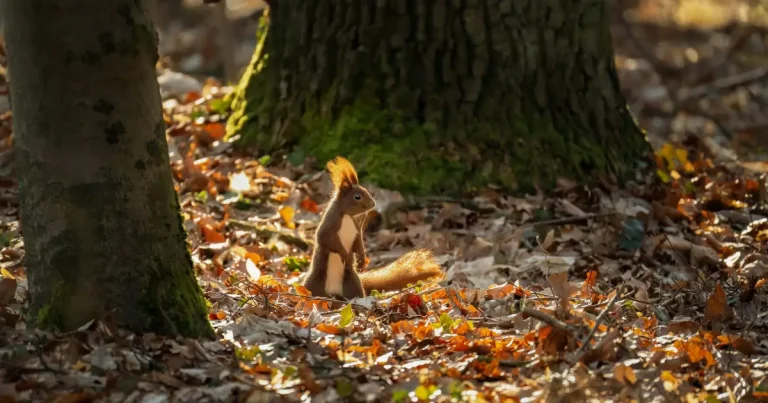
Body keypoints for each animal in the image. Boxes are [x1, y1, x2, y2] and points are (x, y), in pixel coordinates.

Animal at [302, 157, 444, 300]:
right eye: (357, 196)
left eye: (366, 190)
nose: (373, 204)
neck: (347, 216)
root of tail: (333, 293)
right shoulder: (329, 226)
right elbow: (325, 239)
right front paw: (345, 254)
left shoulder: (356, 229)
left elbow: (358, 242)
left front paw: (362, 258)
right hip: (314, 282)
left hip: (352, 282)